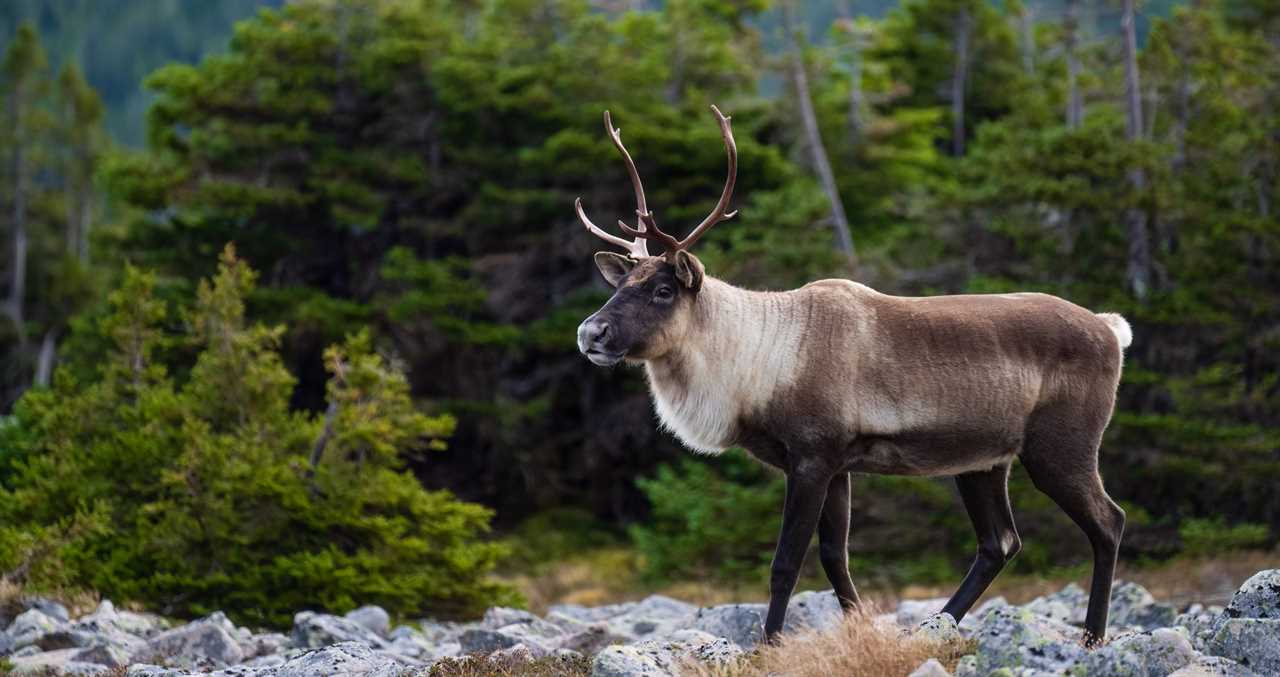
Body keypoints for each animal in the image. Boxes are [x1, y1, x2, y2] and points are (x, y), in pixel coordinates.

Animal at [574, 105, 1132, 648]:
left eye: (663, 290)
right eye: (621, 283)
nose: (590, 332)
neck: (756, 365)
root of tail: (1111, 329)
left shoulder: (813, 456)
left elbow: (786, 563)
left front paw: (769, 646)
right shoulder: (837, 466)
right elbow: (834, 557)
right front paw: (862, 629)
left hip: (1060, 446)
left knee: (1108, 522)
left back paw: (1092, 637)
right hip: (983, 460)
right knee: (999, 543)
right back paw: (934, 628)